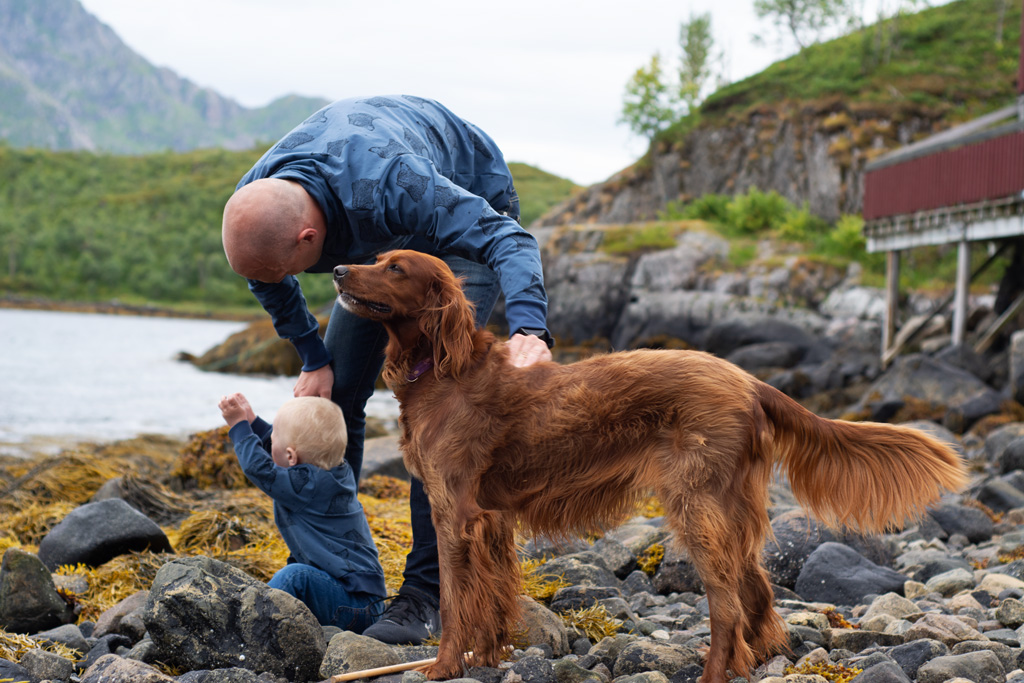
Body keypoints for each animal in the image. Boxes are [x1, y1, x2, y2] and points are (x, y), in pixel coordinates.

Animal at [333, 248, 966, 679]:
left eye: (395, 268)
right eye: (378, 259)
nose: (337, 270)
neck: (444, 370)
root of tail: (750, 381)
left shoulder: (457, 514)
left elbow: (455, 600)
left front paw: (443, 667)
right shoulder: (491, 520)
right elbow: (491, 596)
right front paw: (486, 656)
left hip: (695, 505)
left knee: (726, 604)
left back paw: (716, 672)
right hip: (729, 507)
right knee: (756, 588)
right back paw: (759, 658)